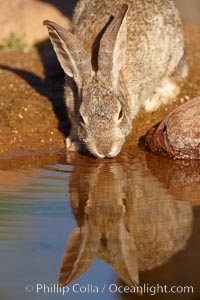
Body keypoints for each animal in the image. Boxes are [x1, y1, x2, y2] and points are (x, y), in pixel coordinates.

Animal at [43, 0, 188, 158]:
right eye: (81, 118)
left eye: (120, 113)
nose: (105, 150)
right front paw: (74, 142)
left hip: (172, 55)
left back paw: (154, 99)